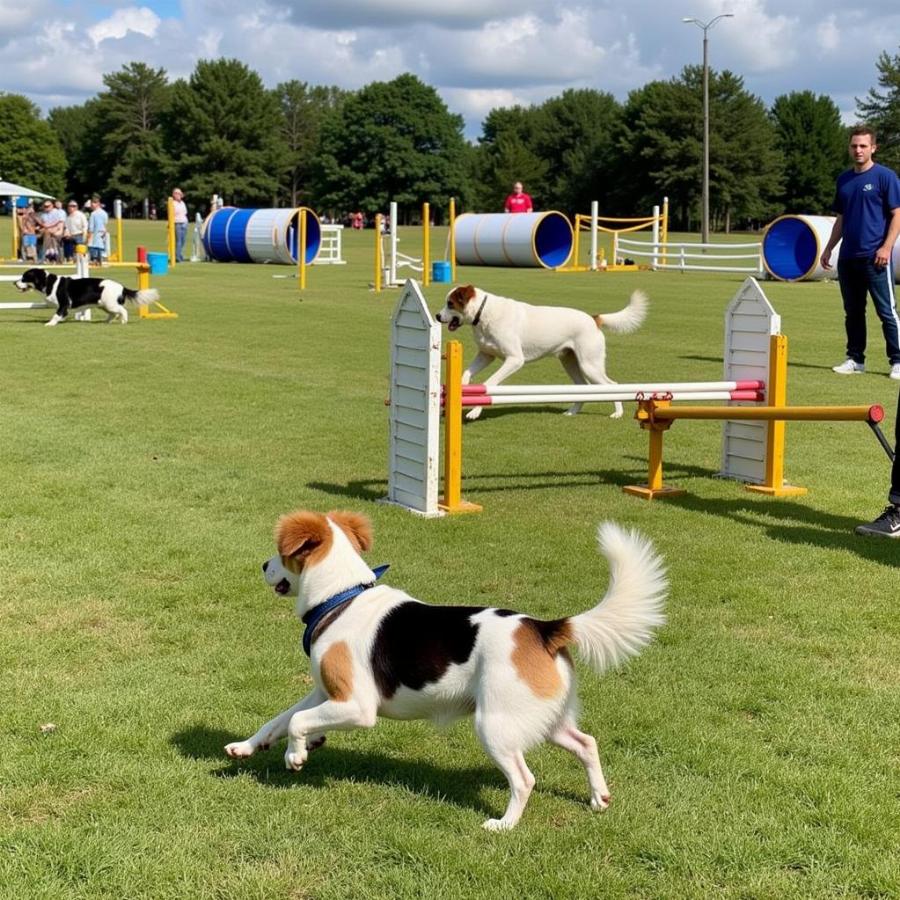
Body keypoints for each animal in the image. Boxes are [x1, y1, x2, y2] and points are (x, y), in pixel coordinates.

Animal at [14, 268, 160, 326]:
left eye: (24, 277)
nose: (14, 282)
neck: (48, 283)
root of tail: (122, 287)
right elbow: (61, 315)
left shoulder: (64, 304)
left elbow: (57, 314)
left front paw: (50, 323)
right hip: (104, 305)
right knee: (113, 314)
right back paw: (106, 322)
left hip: (110, 304)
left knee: (122, 311)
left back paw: (124, 321)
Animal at [221, 510, 664, 832]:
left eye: (281, 554)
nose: (263, 564)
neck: (341, 597)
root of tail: (544, 628)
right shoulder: (324, 692)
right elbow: (280, 719)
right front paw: (248, 747)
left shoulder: (358, 707)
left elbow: (297, 722)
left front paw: (296, 755)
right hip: (543, 718)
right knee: (586, 743)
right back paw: (598, 797)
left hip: (495, 725)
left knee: (524, 780)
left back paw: (504, 825)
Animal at [436, 284, 648, 420]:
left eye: (450, 303)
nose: (437, 316)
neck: (483, 312)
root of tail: (593, 318)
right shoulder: (486, 355)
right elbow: (466, 373)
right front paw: (460, 390)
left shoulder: (514, 359)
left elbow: (489, 383)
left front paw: (474, 411)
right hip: (570, 362)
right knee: (582, 386)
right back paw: (572, 412)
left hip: (590, 365)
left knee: (612, 385)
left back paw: (618, 413)